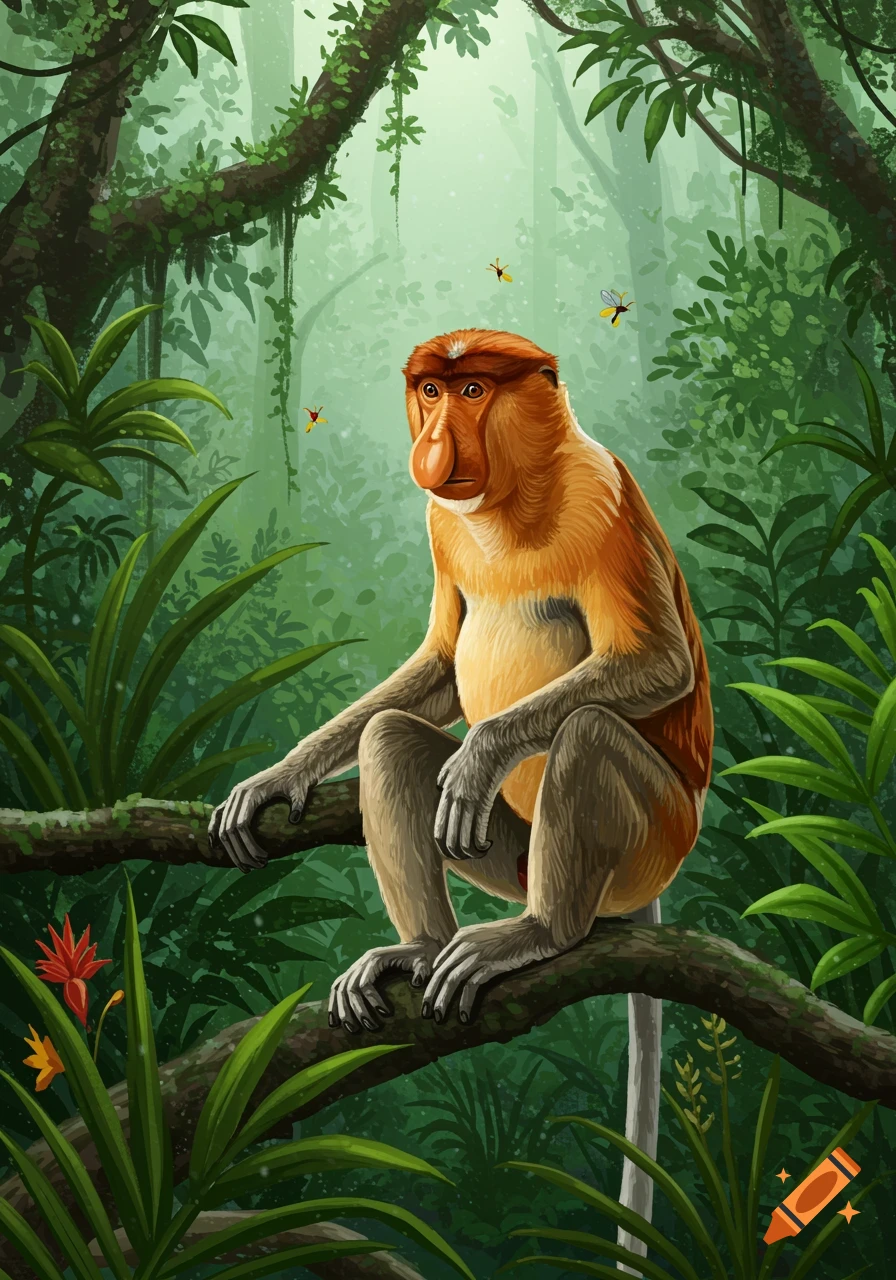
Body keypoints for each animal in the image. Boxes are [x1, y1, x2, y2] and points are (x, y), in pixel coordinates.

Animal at [209, 329, 712, 1263]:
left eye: (476, 389)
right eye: (432, 391)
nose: (436, 444)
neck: (512, 503)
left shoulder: (603, 495)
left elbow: (660, 662)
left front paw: (482, 753)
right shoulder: (444, 528)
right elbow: (441, 664)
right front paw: (279, 777)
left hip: (657, 834)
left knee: (589, 730)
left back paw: (539, 931)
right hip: (512, 845)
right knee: (390, 738)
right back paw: (419, 948)